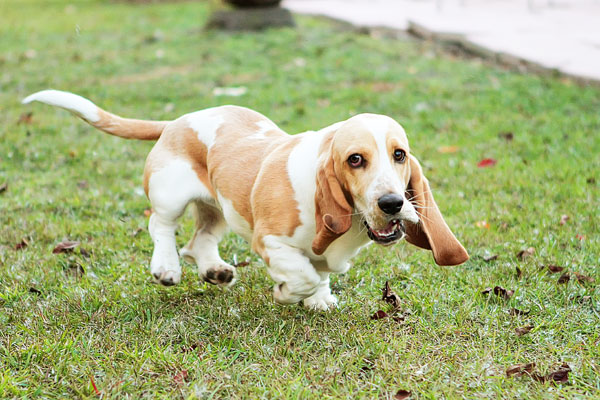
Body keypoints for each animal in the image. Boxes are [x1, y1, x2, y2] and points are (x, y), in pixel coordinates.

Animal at [23, 90, 468, 310]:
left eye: (400, 155)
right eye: (354, 159)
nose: (392, 203)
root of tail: (178, 120)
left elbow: (320, 271)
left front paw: (320, 301)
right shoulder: (269, 240)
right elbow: (305, 274)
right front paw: (289, 294)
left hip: (221, 208)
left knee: (199, 240)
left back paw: (216, 272)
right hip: (170, 194)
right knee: (160, 226)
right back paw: (166, 268)